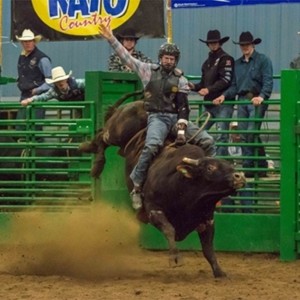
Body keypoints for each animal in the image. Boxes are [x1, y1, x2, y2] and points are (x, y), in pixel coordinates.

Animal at [79, 91, 246, 276]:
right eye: (210, 168)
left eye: (229, 165)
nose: (240, 176)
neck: (184, 187)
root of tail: (139, 102)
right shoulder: (154, 211)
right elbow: (169, 230)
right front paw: (175, 258)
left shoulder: (207, 219)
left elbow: (208, 248)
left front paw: (219, 272)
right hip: (117, 131)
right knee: (103, 137)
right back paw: (94, 161)